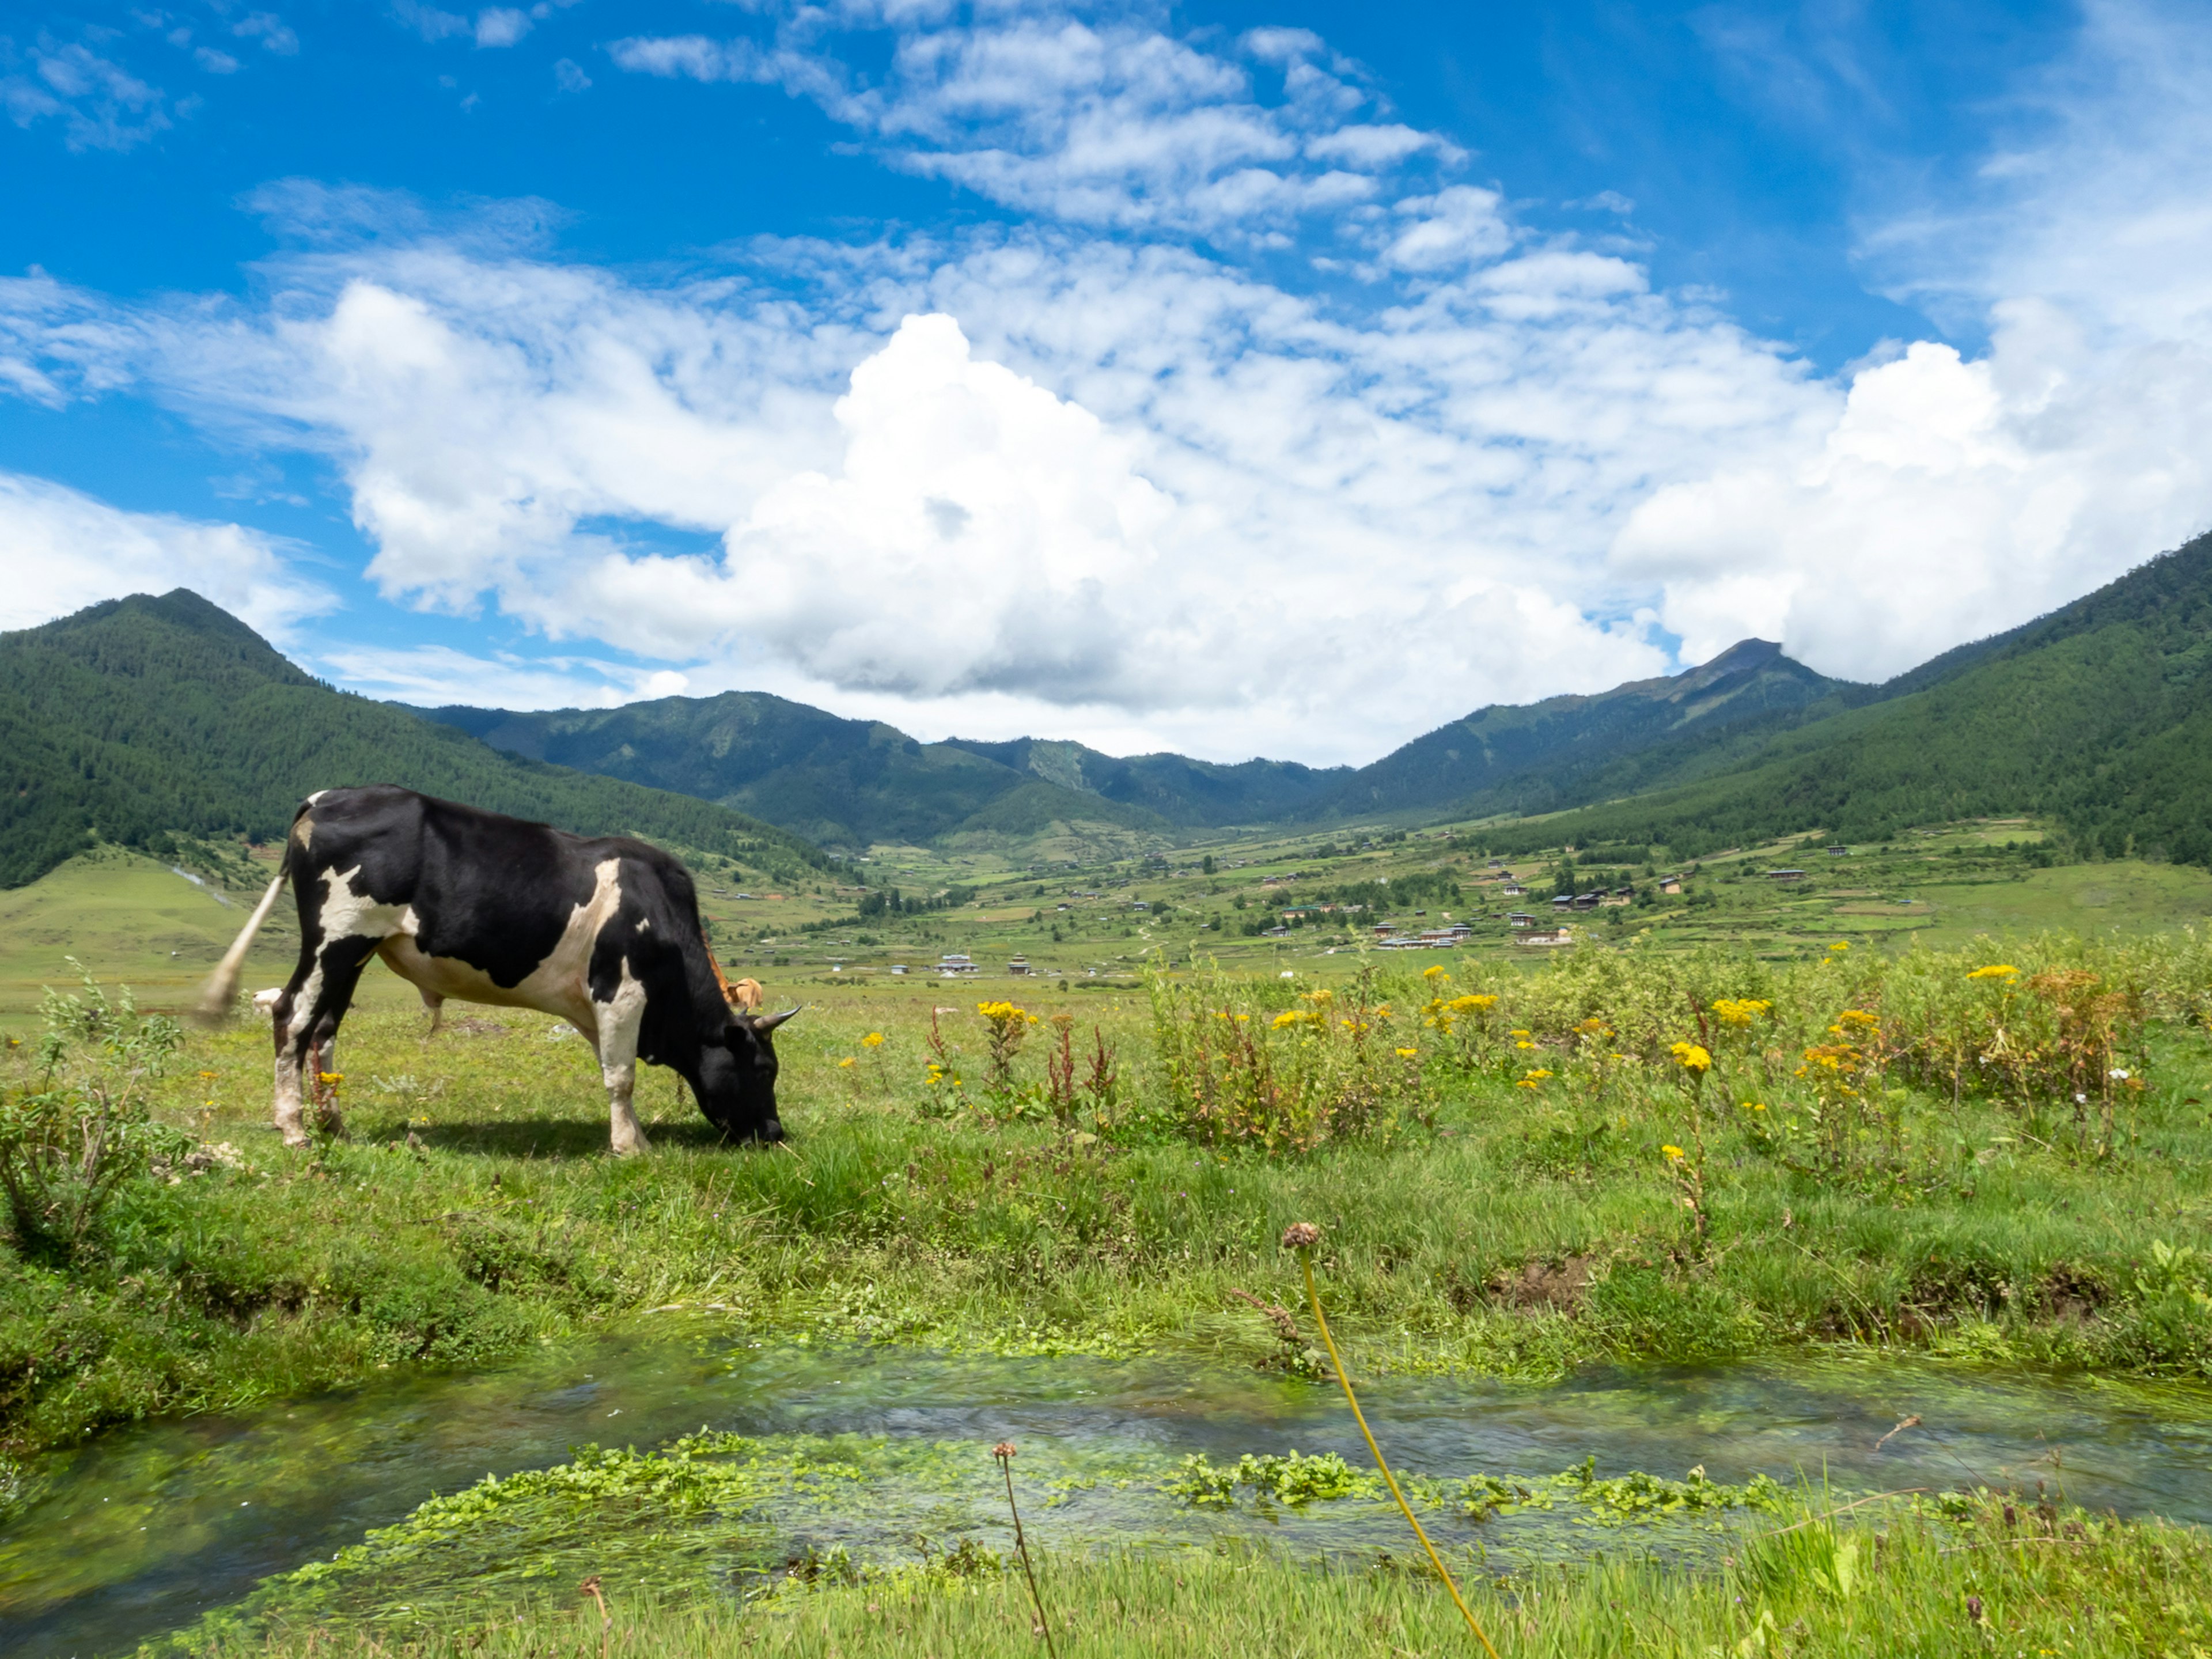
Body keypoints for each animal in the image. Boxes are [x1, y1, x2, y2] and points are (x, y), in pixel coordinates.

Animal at [194, 787, 791, 1159]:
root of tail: (328, 797)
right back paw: (293, 1128)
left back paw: (334, 1126)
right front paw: (631, 1146)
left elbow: (612, 1070)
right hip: (336, 939)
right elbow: (620, 1077)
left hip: (356, 954)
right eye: (765, 1070)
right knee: (292, 1015)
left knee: (324, 1029)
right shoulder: (620, 990)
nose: (774, 1133)